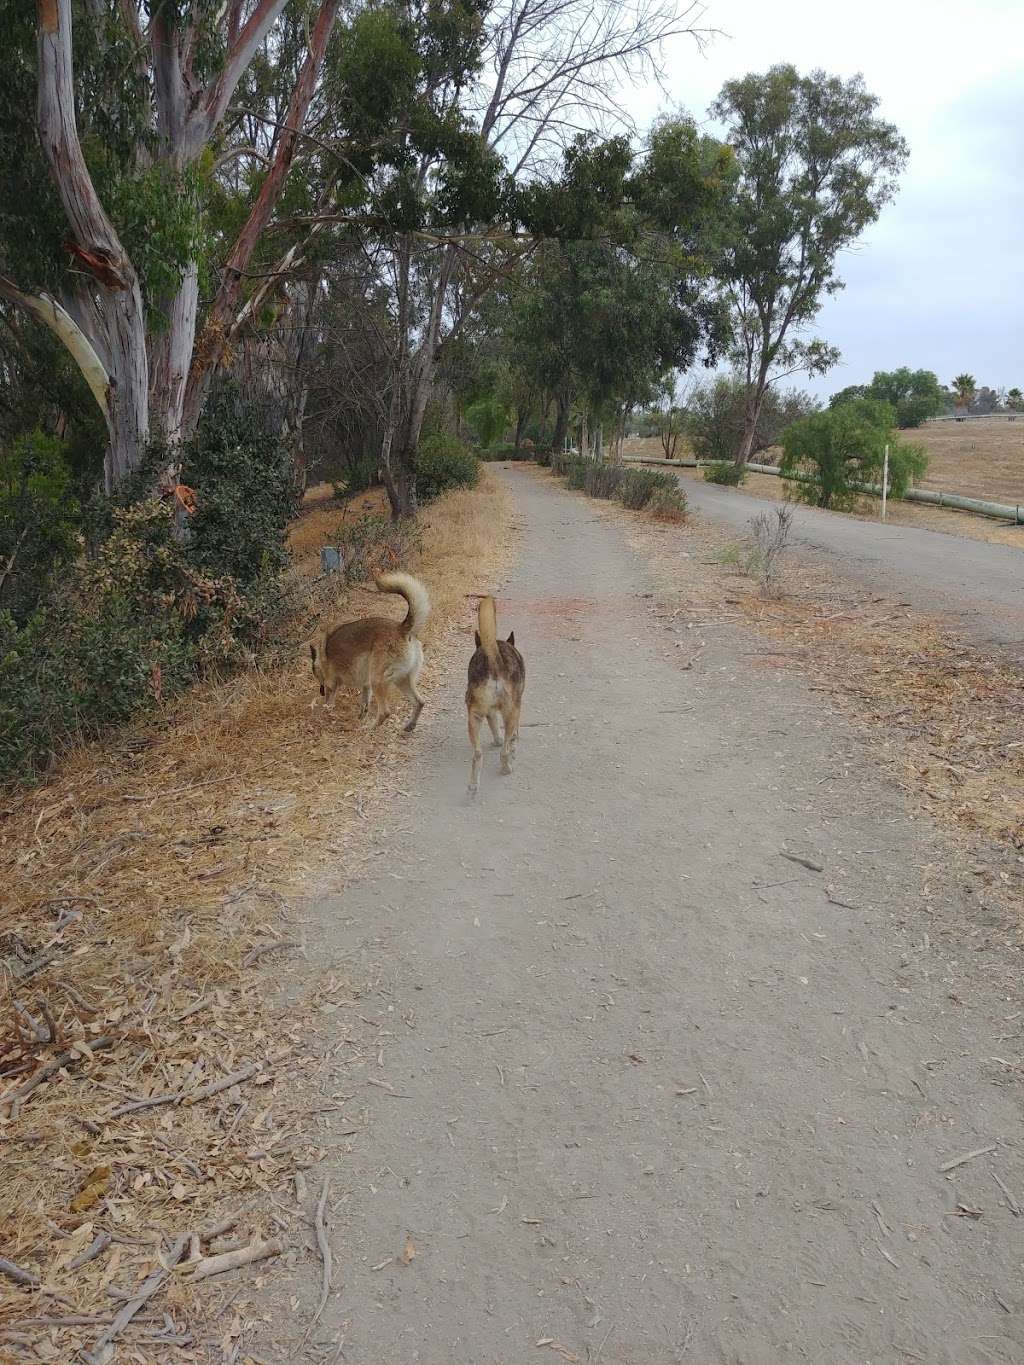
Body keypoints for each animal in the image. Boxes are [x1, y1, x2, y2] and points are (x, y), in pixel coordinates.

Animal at [308, 570, 428, 731]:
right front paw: (360, 717)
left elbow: (329, 702)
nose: (320, 692)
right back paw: (409, 725)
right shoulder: (366, 686)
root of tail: (401, 629)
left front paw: (325, 714)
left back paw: (369, 728)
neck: (322, 657)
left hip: (379, 680)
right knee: (419, 702)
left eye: (316, 675)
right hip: (401, 680)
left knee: (385, 712)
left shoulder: (331, 684)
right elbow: (364, 704)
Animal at [466, 592, 524, 797]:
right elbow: (512, 736)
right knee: (504, 751)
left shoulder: (489, 713)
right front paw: (513, 744)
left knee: (477, 754)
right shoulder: (516, 710)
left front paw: (497, 741)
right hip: (511, 712)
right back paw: (507, 767)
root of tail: (494, 658)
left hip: (473, 717)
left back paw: (473, 786)